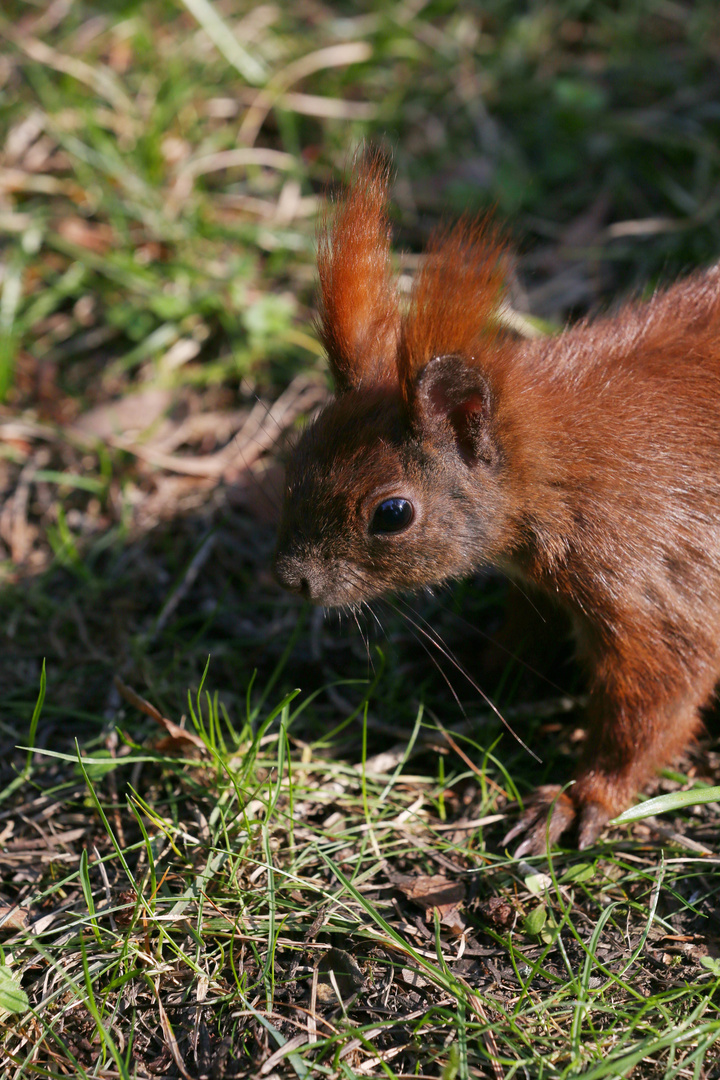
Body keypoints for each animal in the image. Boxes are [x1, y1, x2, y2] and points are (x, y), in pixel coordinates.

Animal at [273, 156, 720, 855]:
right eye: (298, 451)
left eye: (392, 514)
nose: (292, 579)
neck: (554, 475)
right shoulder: (542, 584)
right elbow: (523, 628)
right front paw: (476, 667)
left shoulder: (658, 580)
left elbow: (658, 702)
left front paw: (578, 799)